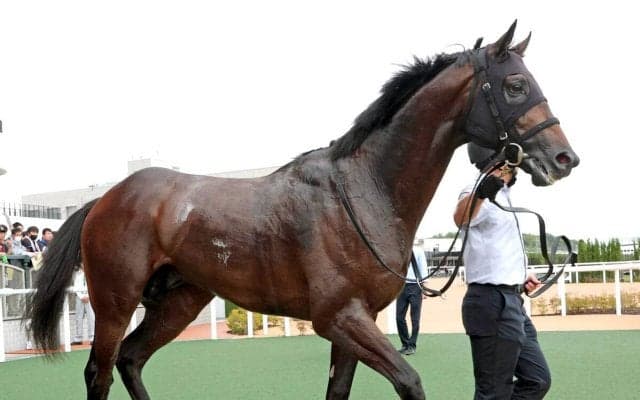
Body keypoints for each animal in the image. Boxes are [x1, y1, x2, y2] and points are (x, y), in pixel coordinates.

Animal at [26, 21, 579, 400]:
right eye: (515, 85)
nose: (564, 158)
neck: (365, 189)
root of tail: (106, 198)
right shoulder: (338, 317)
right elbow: (410, 381)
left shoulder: (355, 322)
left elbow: (338, 390)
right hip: (115, 302)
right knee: (99, 371)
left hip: (179, 302)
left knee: (131, 360)